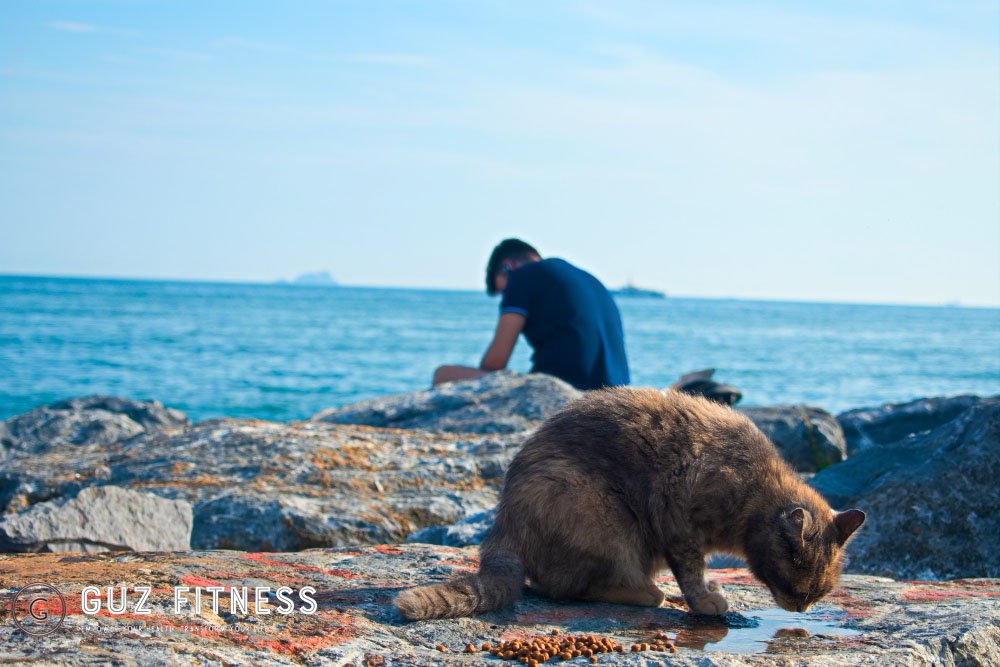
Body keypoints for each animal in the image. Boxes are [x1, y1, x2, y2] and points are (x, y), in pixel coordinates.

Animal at [394, 386, 864, 620]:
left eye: (819, 592)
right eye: (799, 588)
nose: (801, 608)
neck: (755, 486)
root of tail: (500, 525)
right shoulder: (680, 523)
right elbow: (692, 570)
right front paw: (704, 600)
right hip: (598, 510)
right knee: (569, 587)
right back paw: (650, 593)